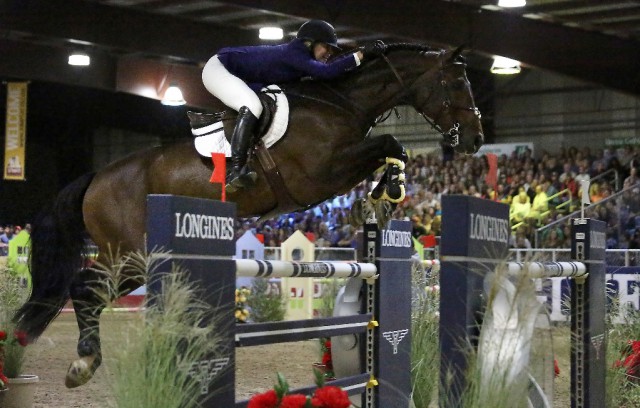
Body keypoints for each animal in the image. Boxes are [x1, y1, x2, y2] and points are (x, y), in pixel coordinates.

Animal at [12, 43, 482, 388]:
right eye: (456, 82)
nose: (476, 140)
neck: (342, 104)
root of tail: (96, 178)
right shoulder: (321, 174)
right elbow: (390, 143)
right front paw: (390, 190)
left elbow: (391, 149)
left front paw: (384, 196)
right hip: (129, 253)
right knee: (84, 287)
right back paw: (82, 364)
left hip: (135, 258)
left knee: (88, 291)